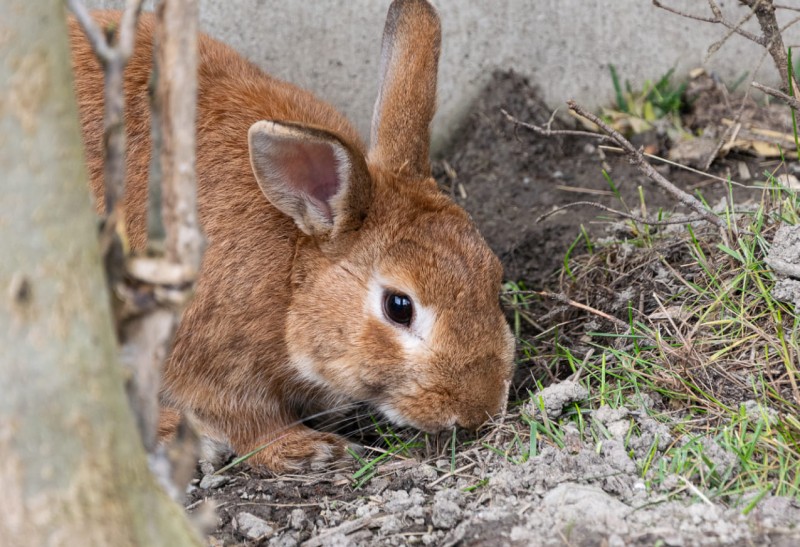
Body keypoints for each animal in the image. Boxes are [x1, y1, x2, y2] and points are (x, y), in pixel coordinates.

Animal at [69, 0, 515, 473]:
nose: (480, 408)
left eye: (493, 275)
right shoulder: (207, 359)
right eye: (399, 307)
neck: (293, 271)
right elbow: (249, 421)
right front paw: (309, 449)